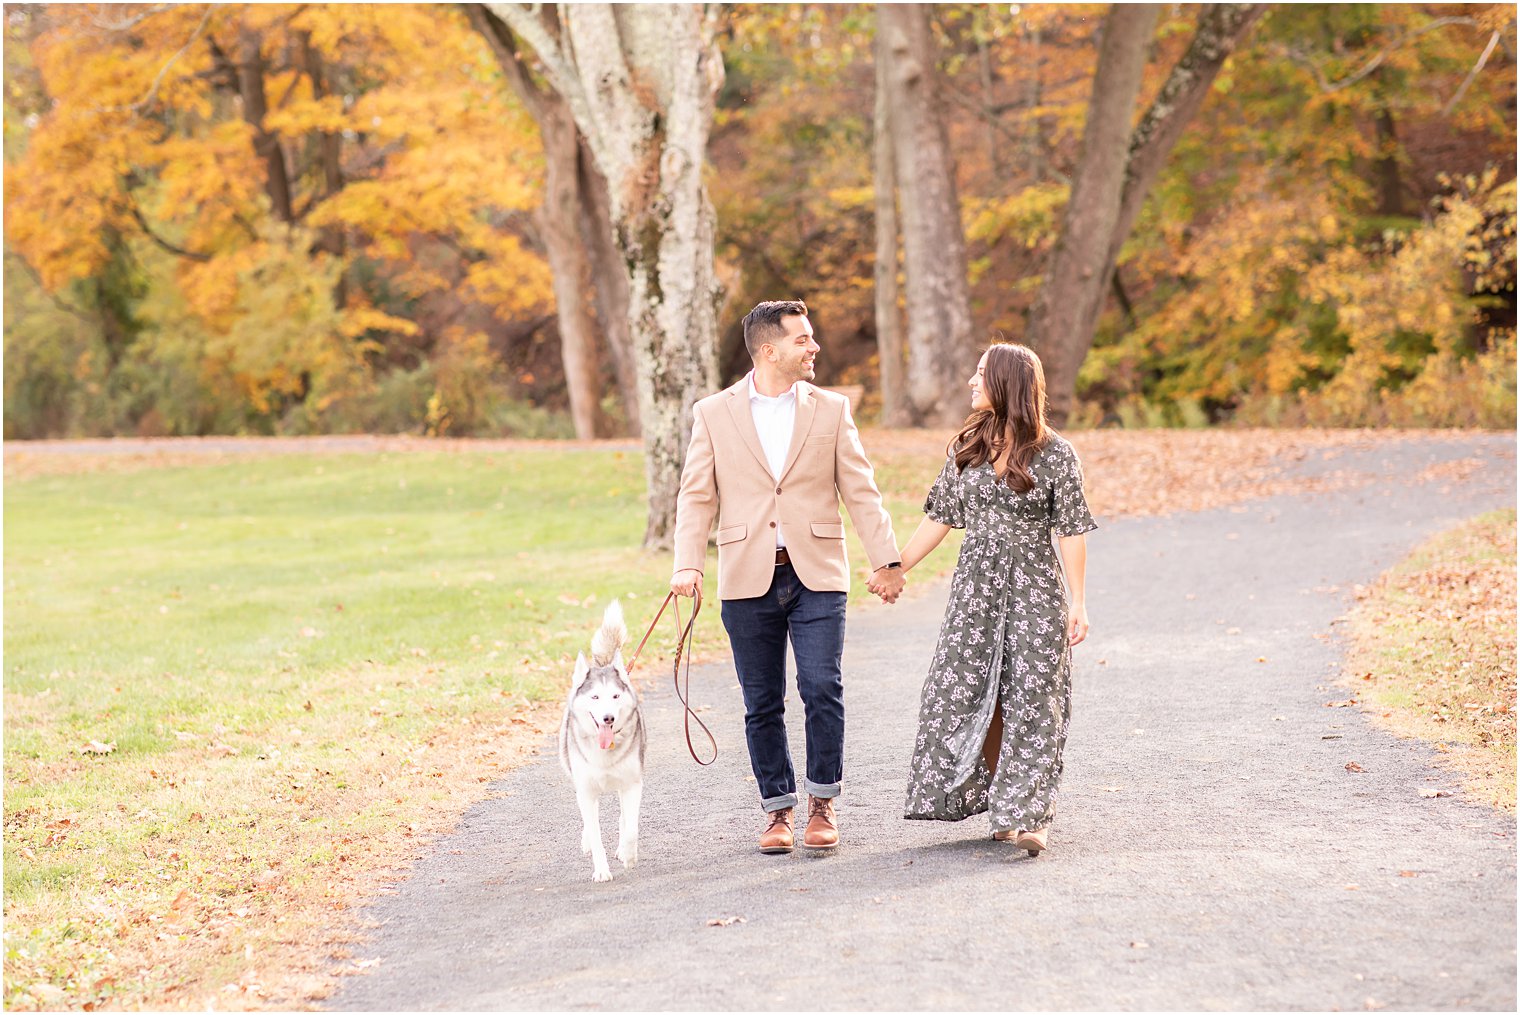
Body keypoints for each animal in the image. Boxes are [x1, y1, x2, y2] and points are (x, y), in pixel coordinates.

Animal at [565, 601, 647, 881]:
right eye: (595, 697)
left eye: (615, 696)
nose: (608, 718)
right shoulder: (586, 790)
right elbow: (595, 834)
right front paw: (601, 870)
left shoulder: (632, 784)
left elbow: (631, 828)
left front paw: (629, 855)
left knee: (624, 817)